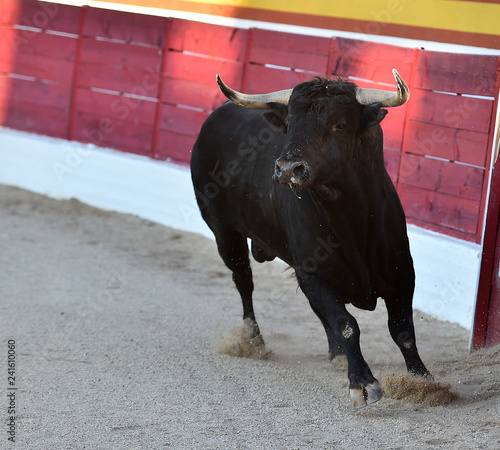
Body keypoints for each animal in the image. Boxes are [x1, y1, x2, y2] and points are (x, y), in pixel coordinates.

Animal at [189, 74, 432, 408]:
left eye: (339, 125)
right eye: (290, 123)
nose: (288, 169)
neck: (350, 218)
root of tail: (214, 118)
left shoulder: (402, 273)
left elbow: (402, 330)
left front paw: (423, 379)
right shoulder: (313, 273)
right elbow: (346, 324)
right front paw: (362, 382)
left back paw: (336, 355)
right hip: (224, 234)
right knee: (244, 283)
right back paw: (254, 341)